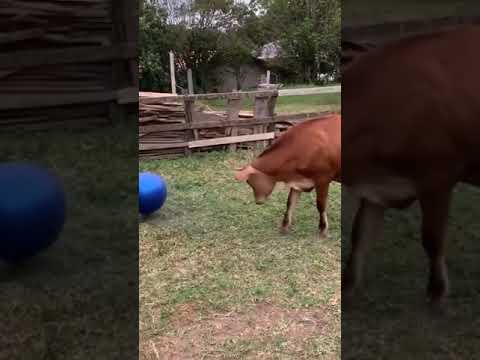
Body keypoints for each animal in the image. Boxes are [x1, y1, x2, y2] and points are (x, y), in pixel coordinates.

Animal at [344, 24, 480, 306]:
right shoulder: (375, 188)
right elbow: (359, 237)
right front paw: (347, 289)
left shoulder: (438, 178)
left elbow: (432, 238)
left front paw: (436, 293)